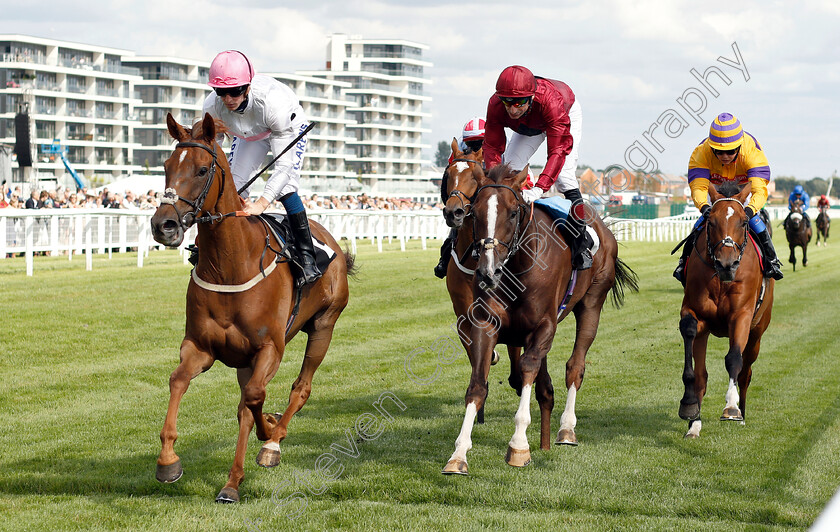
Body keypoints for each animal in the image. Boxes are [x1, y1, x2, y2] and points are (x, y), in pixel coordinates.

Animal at [151, 112, 354, 502]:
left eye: (202, 169)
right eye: (166, 166)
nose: (163, 225)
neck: (230, 264)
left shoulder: (269, 347)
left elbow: (256, 398)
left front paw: (266, 438)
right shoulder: (201, 347)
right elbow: (178, 380)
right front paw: (168, 461)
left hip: (325, 324)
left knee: (300, 387)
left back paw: (270, 445)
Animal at [676, 181, 776, 438]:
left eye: (743, 221)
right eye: (711, 221)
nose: (726, 264)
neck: (721, 279)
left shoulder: (741, 316)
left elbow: (734, 359)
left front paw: (731, 406)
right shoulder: (695, 313)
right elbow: (689, 334)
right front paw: (689, 407)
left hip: (757, 333)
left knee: (746, 372)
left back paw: (741, 413)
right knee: (702, 376)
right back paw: (695, 425)